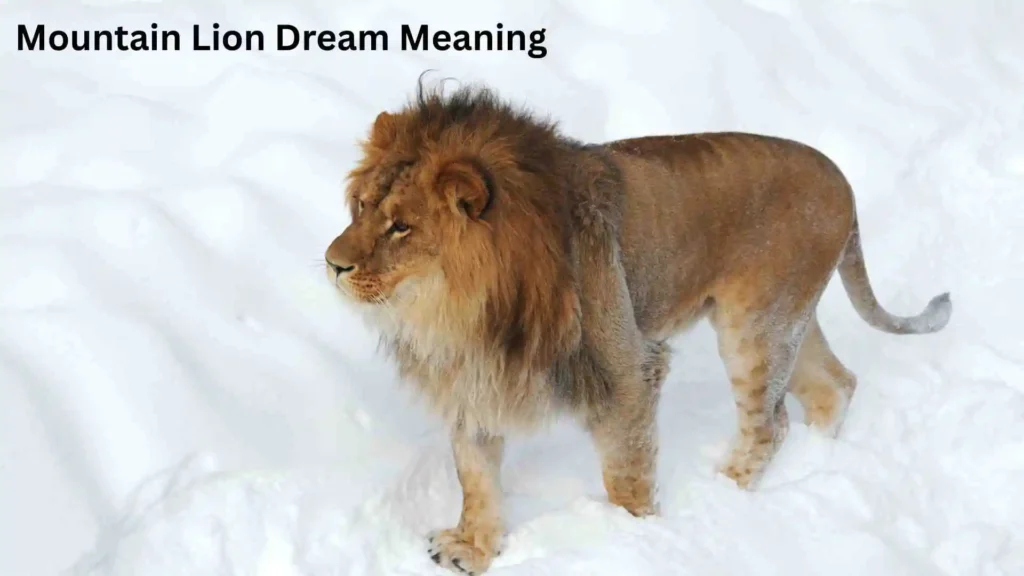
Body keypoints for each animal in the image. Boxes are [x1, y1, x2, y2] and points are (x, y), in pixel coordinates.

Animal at [324, 82, 951, 574]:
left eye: (401, 226)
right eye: (362, 207)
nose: (332, 263)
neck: (458, 311)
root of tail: (842, 182)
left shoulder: (628, 370)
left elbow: (626, 475)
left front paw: (632, 538)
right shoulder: (475, 380)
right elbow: (475, 477)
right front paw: (472, 551)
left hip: (755, 329)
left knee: (770, 424)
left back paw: (724, 492)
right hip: (789, 322)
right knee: (835, 385)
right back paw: (816, 460)